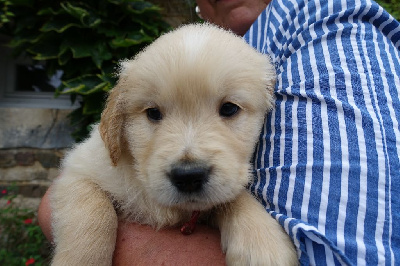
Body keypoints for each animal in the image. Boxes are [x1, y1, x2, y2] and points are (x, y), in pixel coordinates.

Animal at [50, 23, 296, 266]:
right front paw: (83, 258)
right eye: (153, 113)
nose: (188, 177)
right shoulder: (78, 170)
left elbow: (233, 197)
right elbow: (93, 212)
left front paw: (260, 240)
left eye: (229, 108)